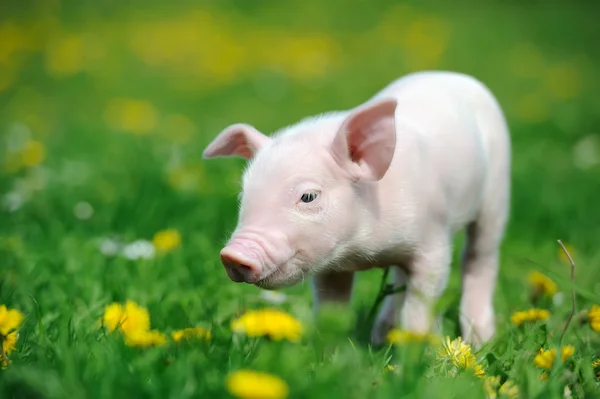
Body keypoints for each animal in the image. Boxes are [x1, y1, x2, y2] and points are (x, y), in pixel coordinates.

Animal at [203, 72, 510, 350]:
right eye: (244, 195)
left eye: (308, 196)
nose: (233, 255)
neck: (363, 252)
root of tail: (455, 76)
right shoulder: (329, 267)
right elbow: (331, 310)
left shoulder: (434, 241)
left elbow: (419, 307)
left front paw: (415, 359)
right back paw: (382, 336)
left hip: (496, 194)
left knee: (479, 258)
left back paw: (480, 340)